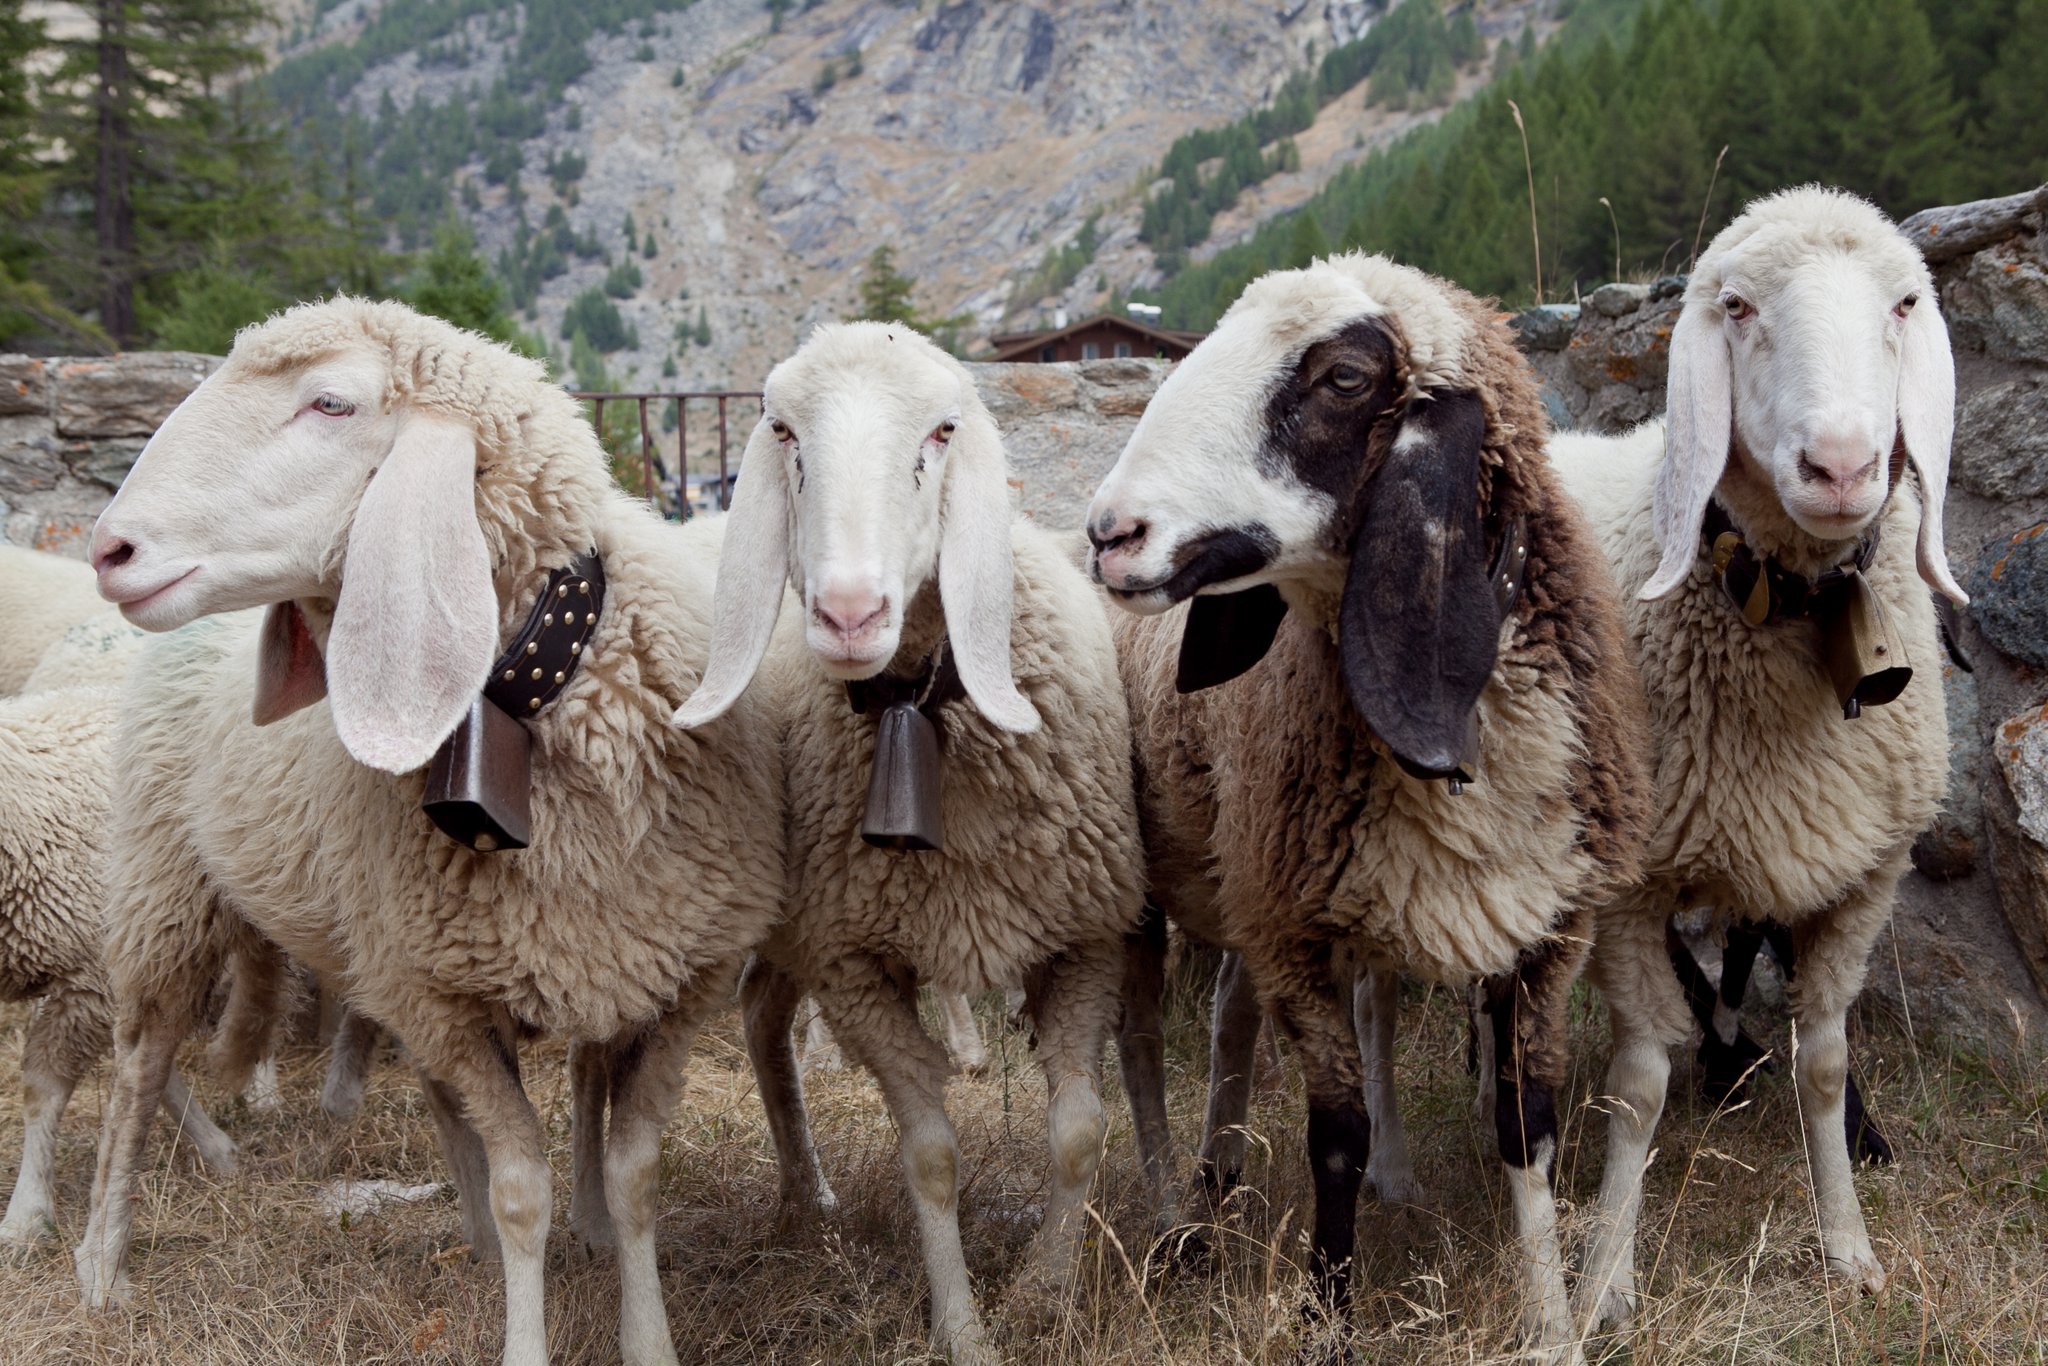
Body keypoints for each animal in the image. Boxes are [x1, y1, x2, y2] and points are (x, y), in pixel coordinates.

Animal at [72, 297, 786, 1366]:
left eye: (330, 402)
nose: (108, 552)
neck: (533, 700)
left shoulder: (674, 975)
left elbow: (633, 1175)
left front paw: (642, 1325)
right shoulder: (444, 992)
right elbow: (523, 1184)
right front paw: (526, 1327)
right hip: (170, 893)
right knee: (135, 1073)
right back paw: (104, 1264)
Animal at [674, 321, 1145, 1365]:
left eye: (942, 430)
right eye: (784, 434)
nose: (849, 614)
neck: (915, 713)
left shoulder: (1089, 936)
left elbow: (1080, 1130)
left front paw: (1044, 1299)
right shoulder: (855, 961)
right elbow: (930, 1155)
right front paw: (963, 1328)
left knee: (761, 1009)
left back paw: (806, 1199)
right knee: (763, 1021)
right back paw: (802, 1201)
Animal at [1086, 252, 1654, 1358]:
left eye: (1343, 378)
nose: (1112, 534)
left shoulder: (1542, 930)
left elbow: (1528, 1128)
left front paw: (1551, 1324)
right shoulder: (1301, 936)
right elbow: (1335, 1140)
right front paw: (1324, 1320)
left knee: (1228, 1015)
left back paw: (1217, 1178)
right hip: (1174, 880)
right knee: (1141, 1048)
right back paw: (1176, 1218)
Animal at [1551, 186, 1959, 1325]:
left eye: (1904, 303)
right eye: (1735, 308)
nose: (1841, 467)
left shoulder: (1864, 872)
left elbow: (1823, 1063)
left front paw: (1847, 1246)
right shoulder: (1631, 886)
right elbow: (1638, 1083)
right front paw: (1604, 1274)